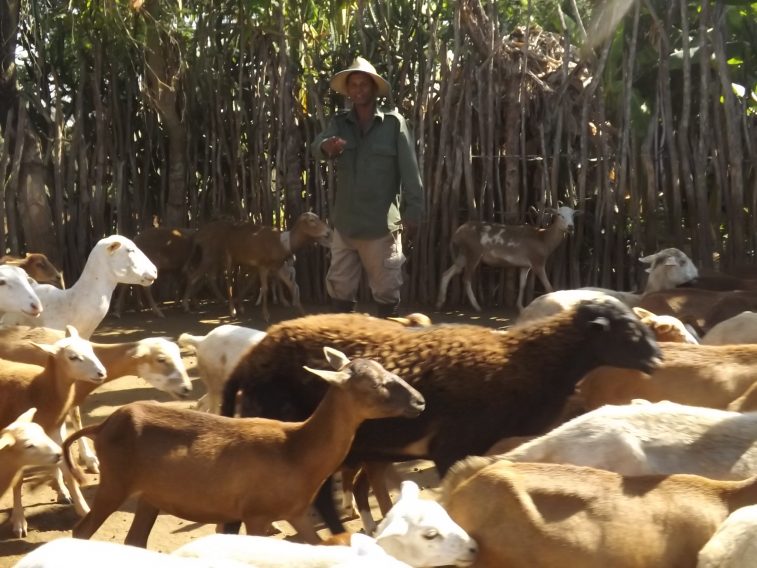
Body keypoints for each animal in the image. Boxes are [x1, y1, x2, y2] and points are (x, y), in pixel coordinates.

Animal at [65, 346, 426, 544]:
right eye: (375, 385)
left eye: (385, 369)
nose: (419, 401)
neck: (298, 452)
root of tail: (102, 427)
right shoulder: (256, 514)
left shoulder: (295, 513)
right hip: (115, 484)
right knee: (80, 532)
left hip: (149, 497)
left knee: (135, 540)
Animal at [434, 205, 576, 310]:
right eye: (560, 215)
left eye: (573, 215)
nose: (571, 226)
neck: (543, 240)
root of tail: (457, 233)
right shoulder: (537, 261)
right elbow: (549, 287)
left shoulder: (525, 265)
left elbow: (522, 284)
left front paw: (520, 306)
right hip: (473, 253)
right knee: (466, 279)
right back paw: (477, 306)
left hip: (463, 254)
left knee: (447, 273)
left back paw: (440, 302)